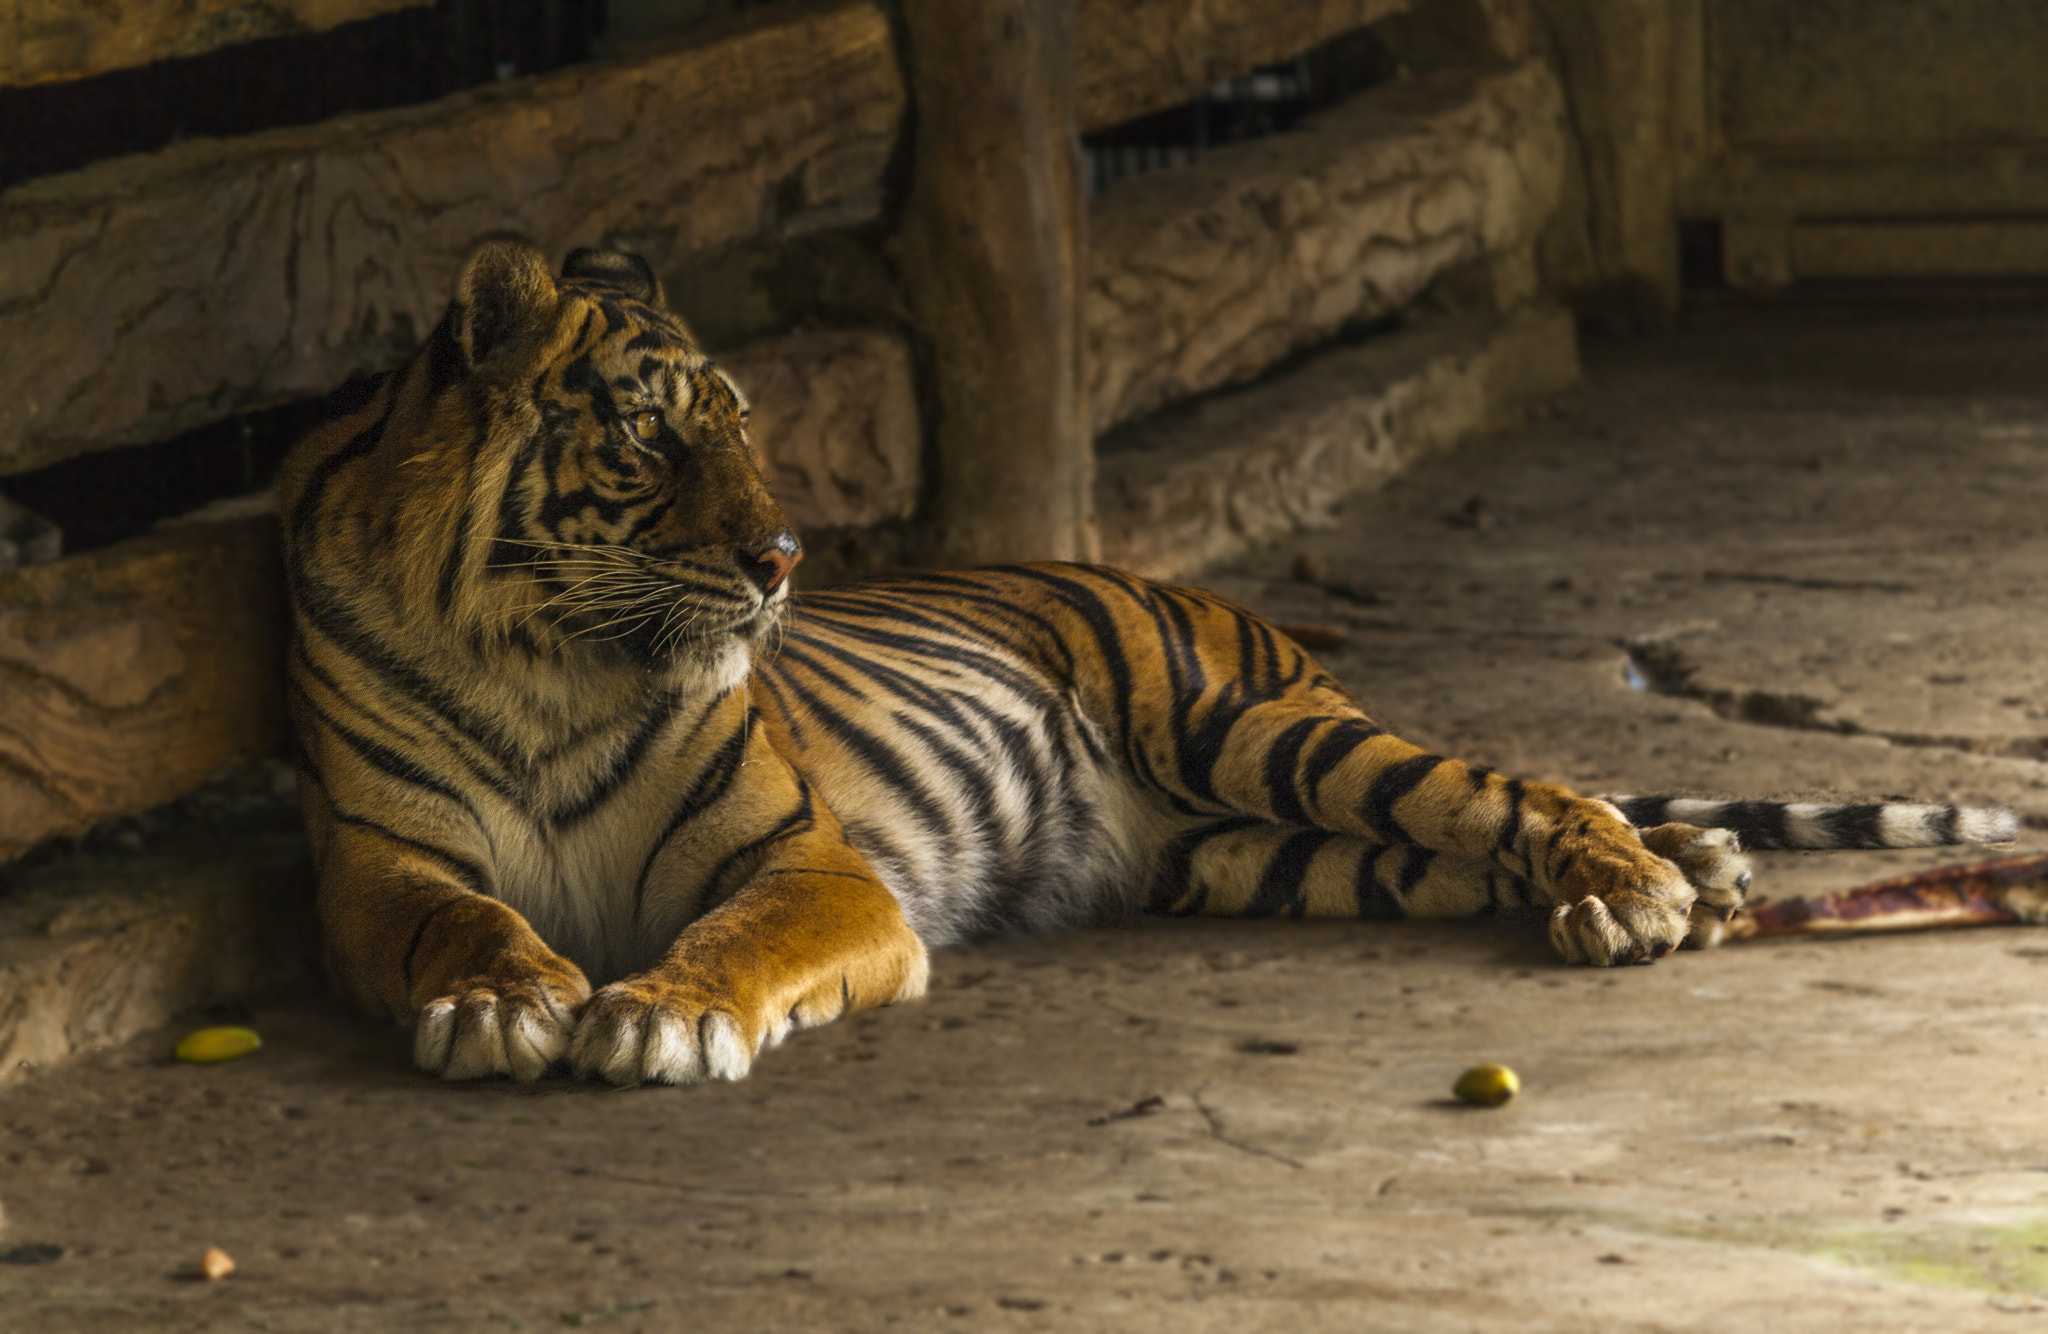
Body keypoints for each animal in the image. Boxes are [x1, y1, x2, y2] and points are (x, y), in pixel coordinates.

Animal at [277, 237, 2018, 1086]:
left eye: (746, 426)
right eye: (647, 433)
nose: (781, 557)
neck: (544, 657)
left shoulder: (816, 867)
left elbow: (738, 933)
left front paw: (657, 1015)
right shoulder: (379, 866)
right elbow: (456, 922)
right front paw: (504, 997)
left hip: (1257, 734)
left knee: (1515, 785)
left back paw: (1646, 888)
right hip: (1260, 854)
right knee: (1462, 845)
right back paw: (1686, 879)